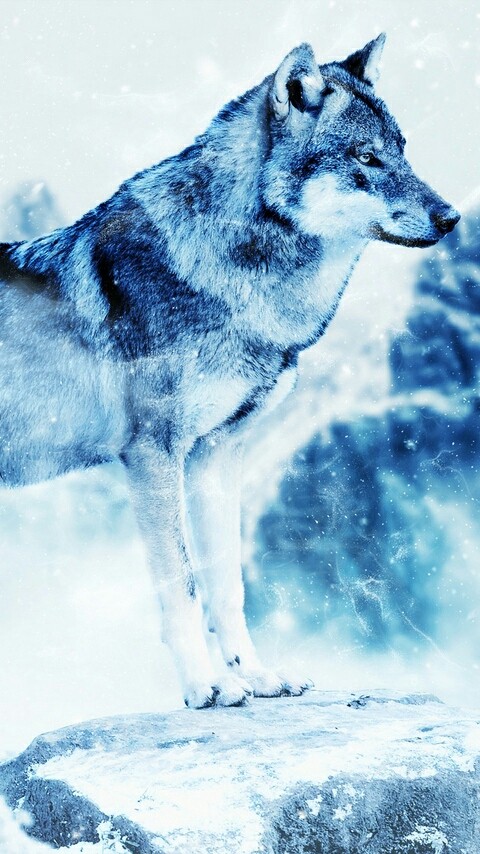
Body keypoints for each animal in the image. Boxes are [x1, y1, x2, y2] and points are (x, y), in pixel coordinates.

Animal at [0, 35, 459, 708]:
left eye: (403, 150)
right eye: (366, 157)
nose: (452, 217)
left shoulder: (217, 453)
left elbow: (228, 585)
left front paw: (257, 676)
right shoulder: (153, 455)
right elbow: (184, 587)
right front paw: (206, 686)